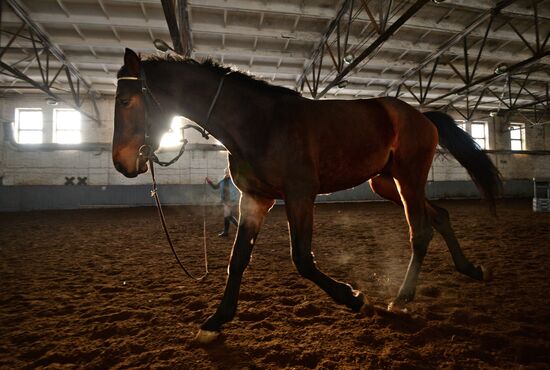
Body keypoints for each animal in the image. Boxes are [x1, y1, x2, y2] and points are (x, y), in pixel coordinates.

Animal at [113, 48, 504, 344]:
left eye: (127, 100)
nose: (122, 162)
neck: (259, 123)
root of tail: (421, 116)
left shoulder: (300, 195)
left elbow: (302, 258)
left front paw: (354, 298)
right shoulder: (255, 199)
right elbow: (237, 261)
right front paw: (215, 321)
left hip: (408, 179)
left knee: (420, 231)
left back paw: (401, 298)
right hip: (386, 183)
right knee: (439, 216)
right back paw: (470, 269)